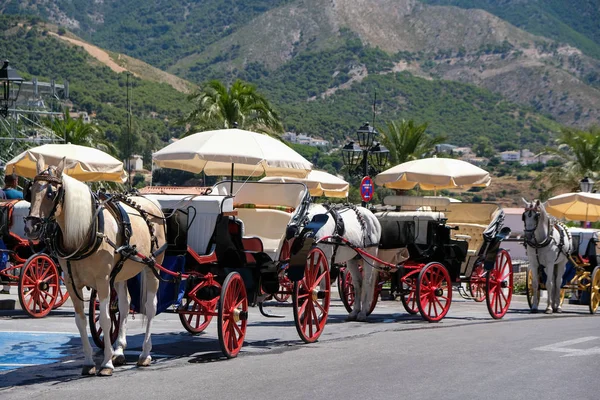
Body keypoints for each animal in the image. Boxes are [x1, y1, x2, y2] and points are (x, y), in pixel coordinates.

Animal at [24, 158, 166, 376]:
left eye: (51, 193)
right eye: (30, 191)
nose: (31, 227)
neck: (84, 232)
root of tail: (152, 203)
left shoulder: (103, 281)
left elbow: (106, 319)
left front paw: (106, 363)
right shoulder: (72, 282)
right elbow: (81, 321)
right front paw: (90, 362)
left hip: (153, 266)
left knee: (150, 307)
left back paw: (144, 354)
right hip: (121, 272)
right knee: (124, 306)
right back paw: (119, 351)